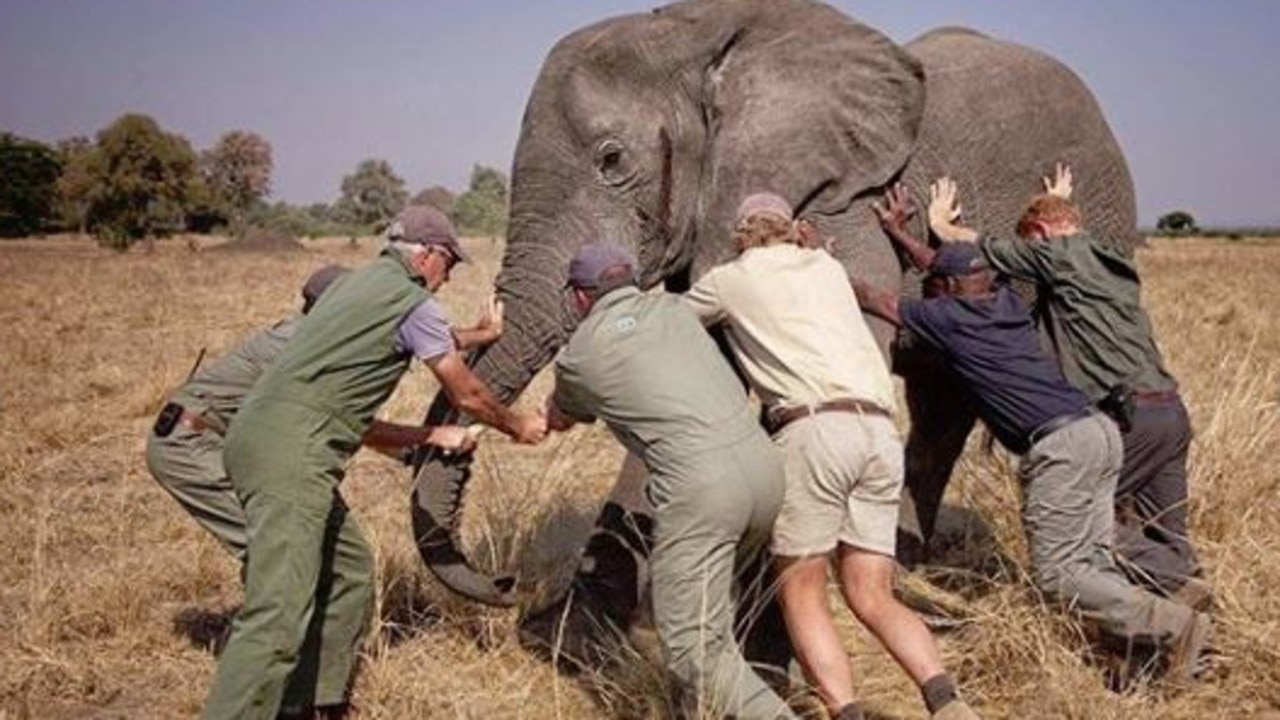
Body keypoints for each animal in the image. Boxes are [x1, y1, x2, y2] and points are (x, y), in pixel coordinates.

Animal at [409, 0, 1141, 661]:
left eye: (612, 159)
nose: (505, 584)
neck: (698, 32)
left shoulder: (841, 210)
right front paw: (570, 641)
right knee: (941, 407)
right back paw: (902, 572)